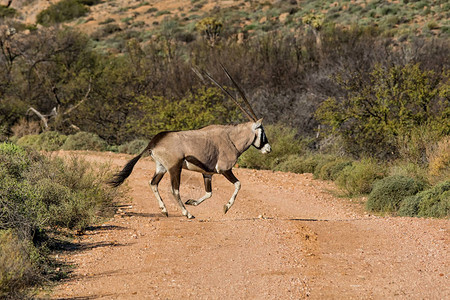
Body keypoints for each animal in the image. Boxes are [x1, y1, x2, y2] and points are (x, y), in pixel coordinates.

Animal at [109, 65, 270, 219]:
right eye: (262, 131)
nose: (268, 149)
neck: (231, 139)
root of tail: (155, 141)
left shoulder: (207, 174)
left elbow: (209, 193)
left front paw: (192, 202)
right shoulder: (225, 169)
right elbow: (238, 184)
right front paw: (226, 207)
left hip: (161, 167)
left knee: (153, 183)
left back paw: (164, 210)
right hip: (175, 168)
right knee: (174, 190)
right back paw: (187, 214)